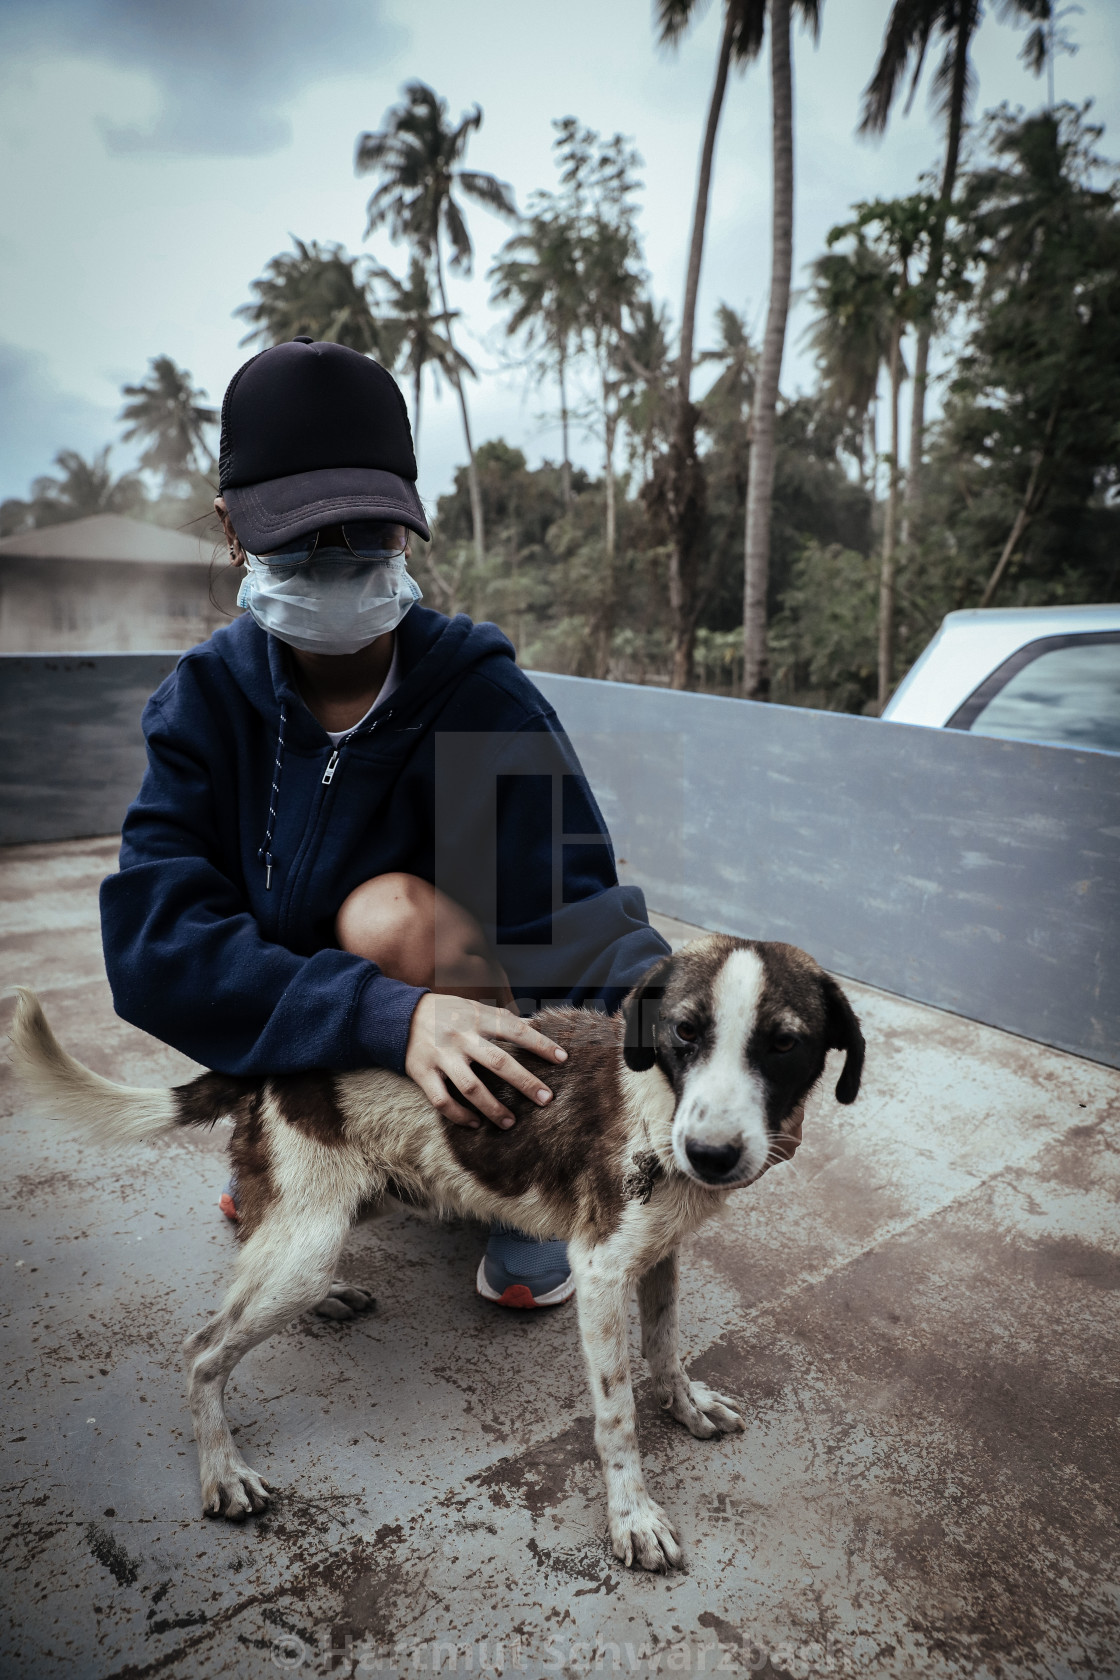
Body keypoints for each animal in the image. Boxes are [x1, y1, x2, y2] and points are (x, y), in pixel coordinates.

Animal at [8, 940, 866, 1565]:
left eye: (784, 1044)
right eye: (685, 1031)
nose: (711, 1156)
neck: (656, 1100)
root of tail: (266, 1064)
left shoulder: (659, 1255)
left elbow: (666, 1346)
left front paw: (685, 1407)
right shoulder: (599, 1271)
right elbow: (616, 1415)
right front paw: (633, 1517)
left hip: (333, 1215)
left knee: (251, 1263)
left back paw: (329, 1299)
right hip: (307, 1241)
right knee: (202, 1349)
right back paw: (222, 1469)